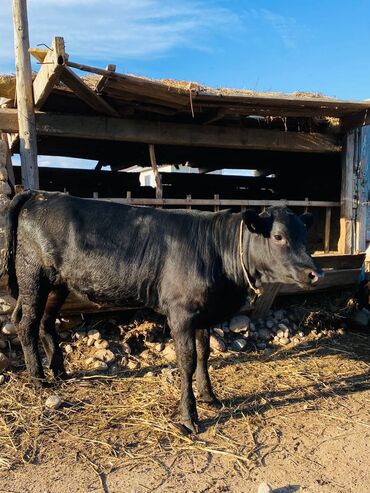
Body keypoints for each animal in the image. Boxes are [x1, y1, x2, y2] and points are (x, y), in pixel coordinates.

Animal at [2, 190, 320, 432]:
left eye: (306, 236)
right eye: (278, 236)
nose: (316, 274)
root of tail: (38, 194)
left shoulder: (204, 312)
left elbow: (205, 354)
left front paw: (210, 397)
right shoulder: (181, 312)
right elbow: (187, 361)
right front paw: (189, 417)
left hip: (59, 284)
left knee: (46, 321)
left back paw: (59, 372)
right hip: (33, 276)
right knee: (27, 323)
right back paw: (39, 379)